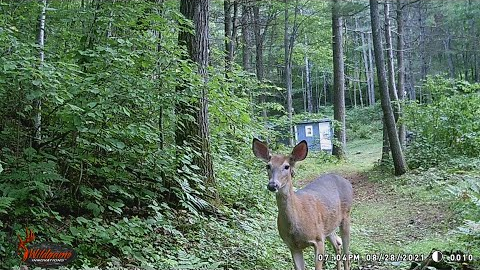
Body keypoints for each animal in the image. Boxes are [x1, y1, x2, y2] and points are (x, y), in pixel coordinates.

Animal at [255, 139, 352, 270]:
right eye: (268, 166)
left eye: (287, 166)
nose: (272, 185)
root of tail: (347, 182)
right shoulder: (292, 246)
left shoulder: (318, 239)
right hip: (328, 224)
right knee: (337, 243)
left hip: (346, 216)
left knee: (347, 251)